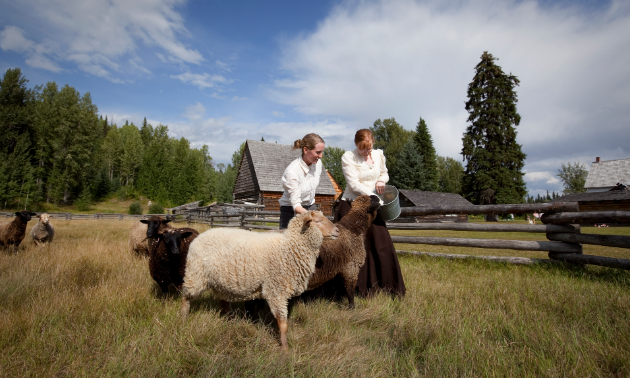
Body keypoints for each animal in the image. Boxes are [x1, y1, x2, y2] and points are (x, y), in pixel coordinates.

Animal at [181, 211, 340, 350]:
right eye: (318, 221)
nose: (337, 231)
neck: (290, 246)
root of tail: (198, 237)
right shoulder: (276, 290)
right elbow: (283, 324)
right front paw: (285, 350)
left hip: (220, 282)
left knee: (223, 303)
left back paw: (229, 321)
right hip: (195, 275)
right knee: (186, 297)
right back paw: (183, 318)